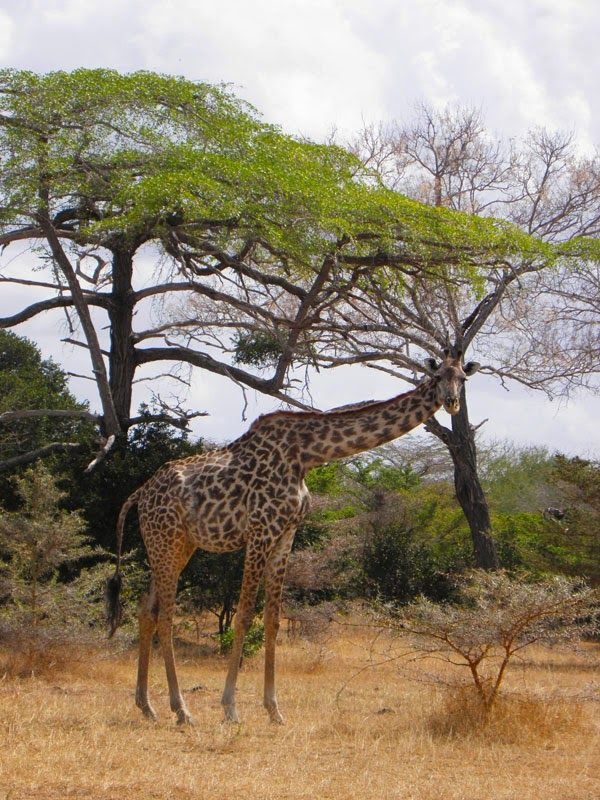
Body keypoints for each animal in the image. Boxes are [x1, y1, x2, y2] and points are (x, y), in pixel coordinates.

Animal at [105, 350, 480, 724]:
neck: (307, 455)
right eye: (438, 377)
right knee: (166, 615)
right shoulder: (259, 530)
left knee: (147, 609)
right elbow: (244, 615)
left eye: (463, 379)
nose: (451, 402)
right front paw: (230, 707)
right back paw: (181, 710)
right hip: (165, 540)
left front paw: (274, 709)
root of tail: (140, 494)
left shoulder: (286, 533)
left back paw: (147, 705)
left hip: (178, 544)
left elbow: (273, 619)